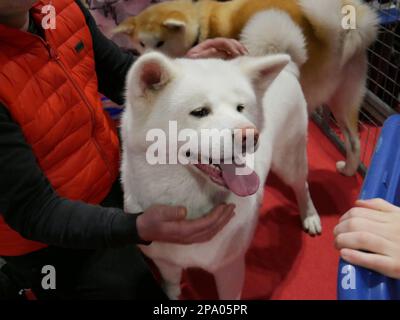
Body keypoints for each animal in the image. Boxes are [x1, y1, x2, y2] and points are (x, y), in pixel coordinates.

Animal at [120, 51, 320, 298]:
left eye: (240, 108)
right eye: (200, 112)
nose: (251, 135)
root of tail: (289, 71)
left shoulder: (230, 268)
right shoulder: (166, 264)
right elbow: (172, 287)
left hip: (289, 161)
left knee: (302, 186)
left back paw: (310, 215)